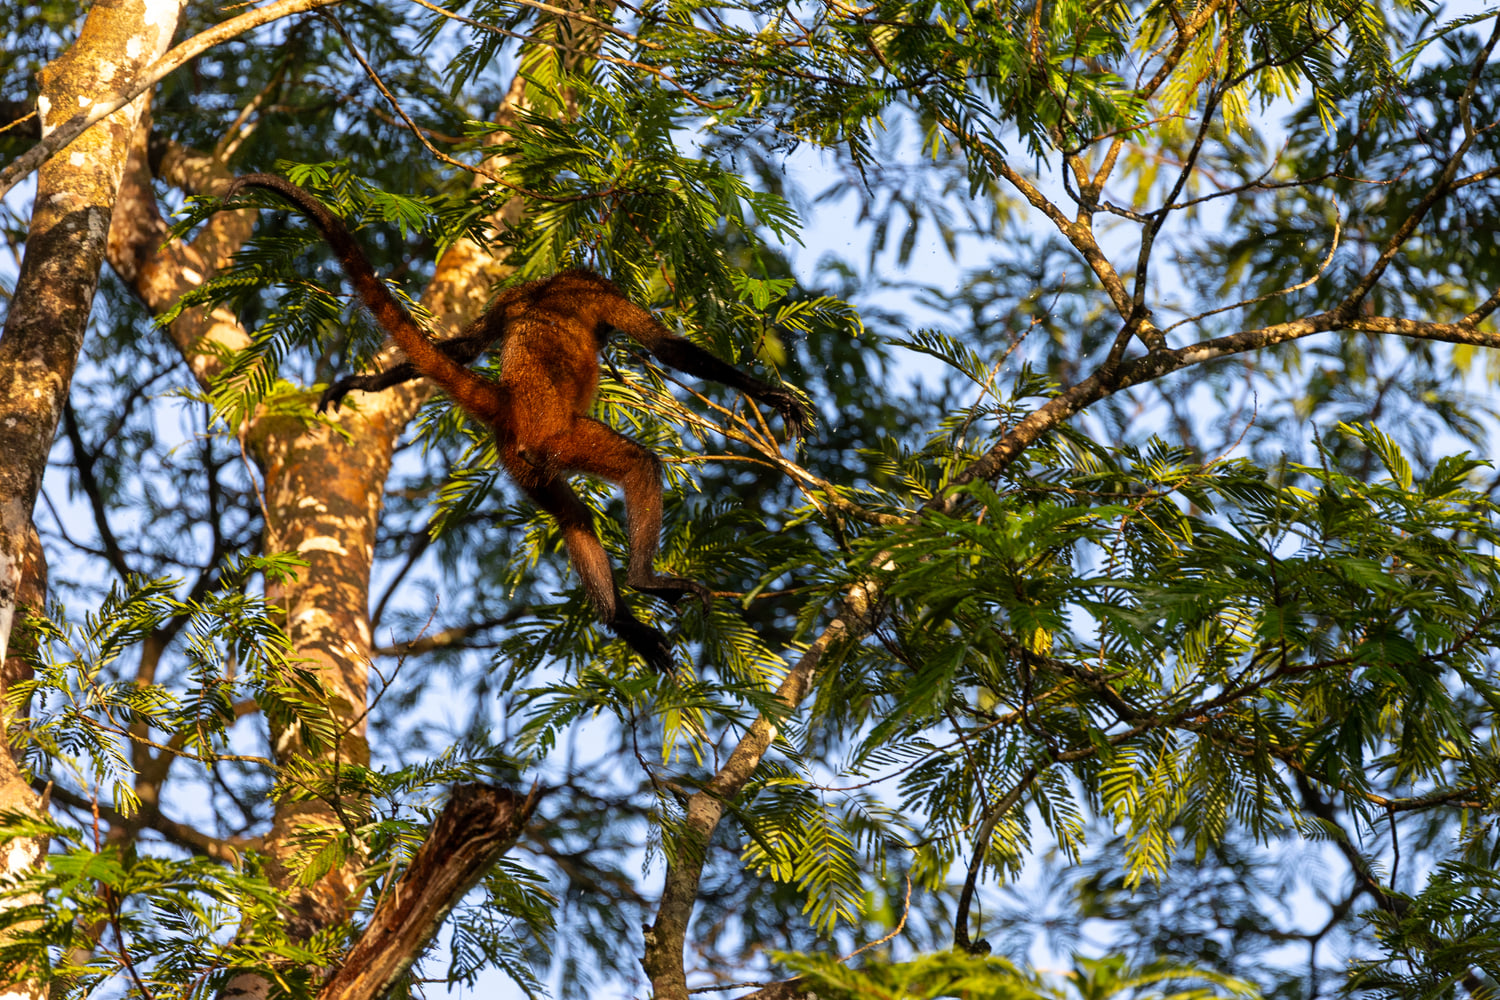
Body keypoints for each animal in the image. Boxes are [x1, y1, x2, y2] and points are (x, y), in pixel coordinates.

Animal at [223, 173, 810, 672]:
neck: (548, 286)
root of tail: (510, 403)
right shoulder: (599, 292)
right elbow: (667, 348)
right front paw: (768, 394)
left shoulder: (510, 298)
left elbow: (466, 345)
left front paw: (363, 383)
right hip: (561, 439)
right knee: (638, 465)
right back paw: (643, 581)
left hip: (525, 464)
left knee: (574, 517)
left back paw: (620, 619)